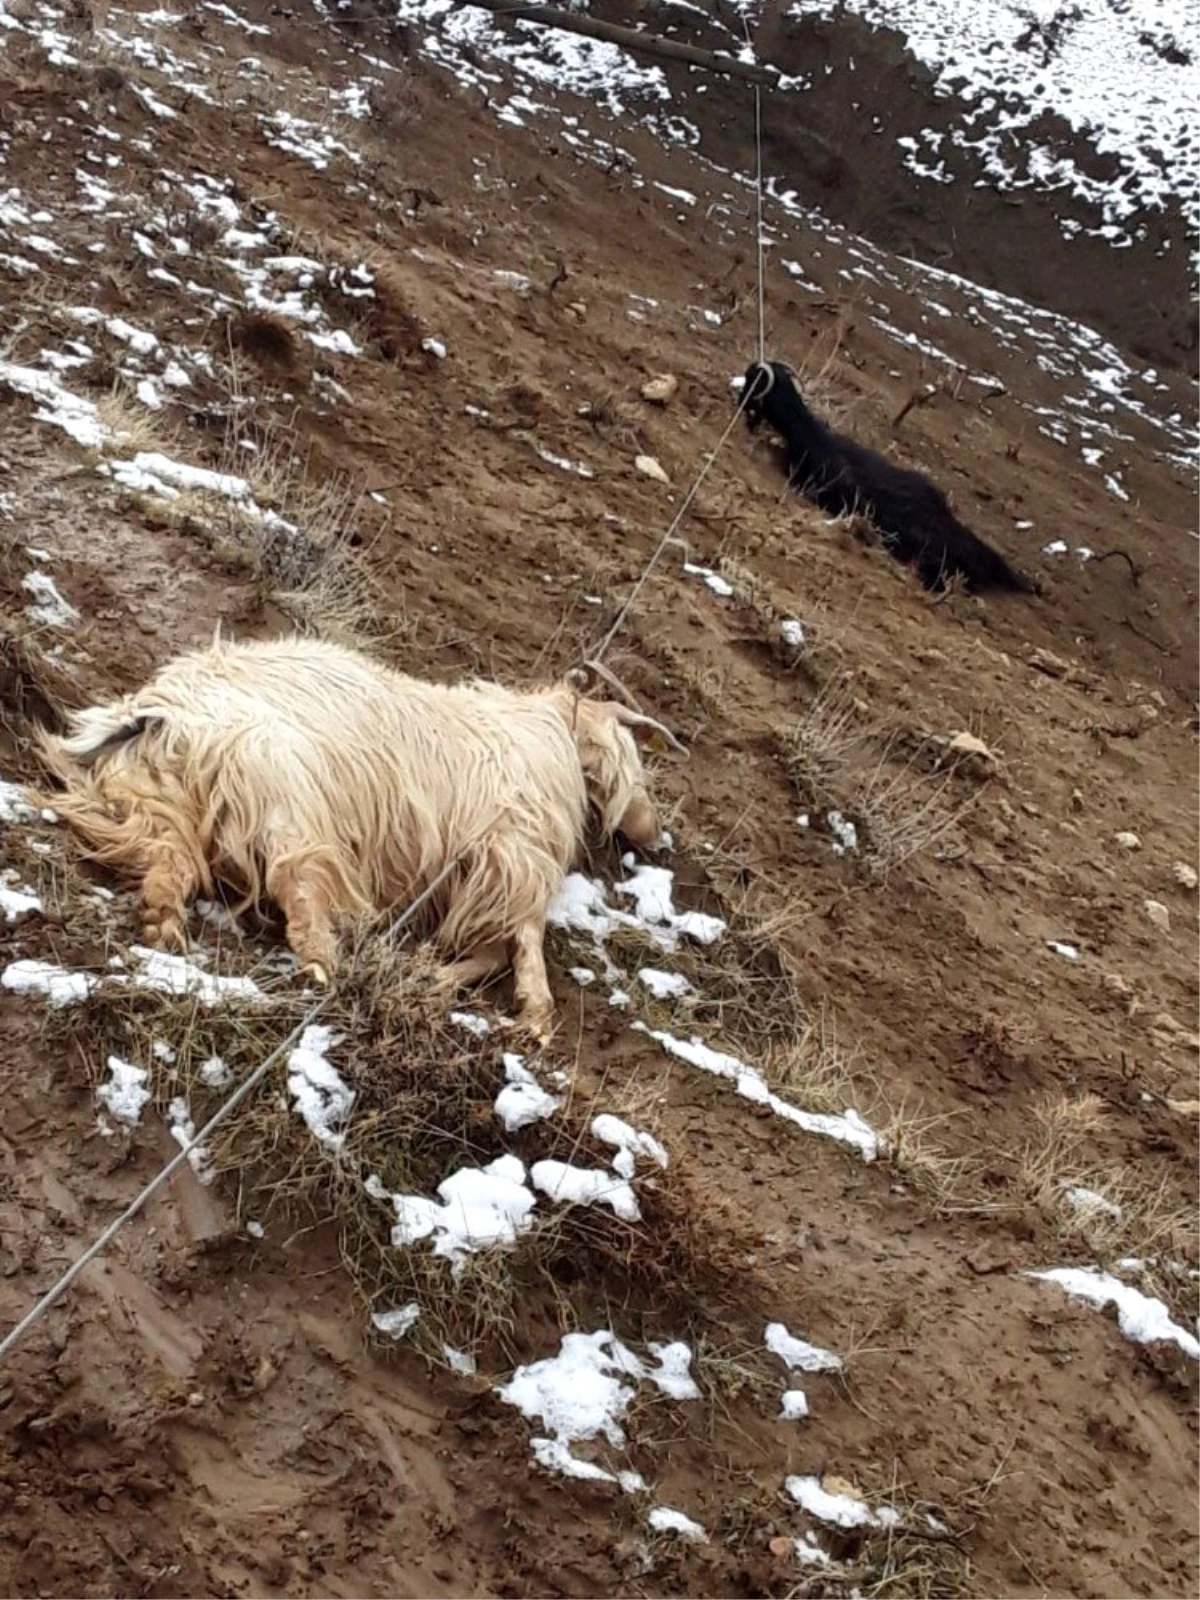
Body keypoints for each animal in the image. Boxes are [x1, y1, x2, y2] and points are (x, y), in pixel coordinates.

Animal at [40, 633, 678, 1036]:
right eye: (635, 750)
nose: (656, 837)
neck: (551, 737)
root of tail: (161, 714)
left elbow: (491, 949)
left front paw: (431, 977)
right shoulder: (510, 858)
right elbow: (516, 946)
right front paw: (536, 1020)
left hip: (149, 803)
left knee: (169, 864)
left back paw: (162, 921)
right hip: (285, 795)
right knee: (297, 888)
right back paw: (324, 967)